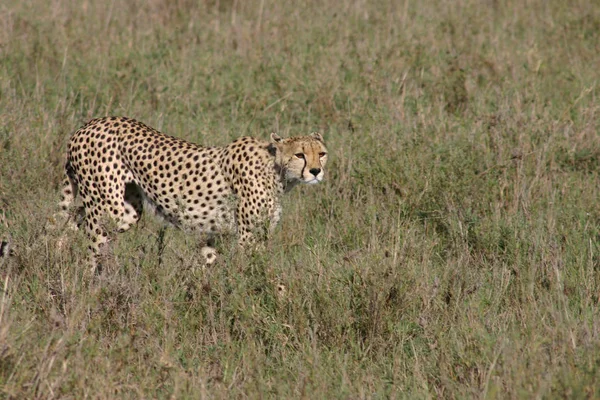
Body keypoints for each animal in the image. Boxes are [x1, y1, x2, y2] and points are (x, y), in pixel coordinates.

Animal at [56, 117, 328, 270]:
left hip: (125, 211)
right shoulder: (247, 237)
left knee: (73, 216)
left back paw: (58, 250)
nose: (316, 171)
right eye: (300, 154)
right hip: (107, 207)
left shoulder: (217, 235)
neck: (275, 171)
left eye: (322, 153)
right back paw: (90, 286)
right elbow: (260, 271)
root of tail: (89, 125)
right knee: (91, 243)